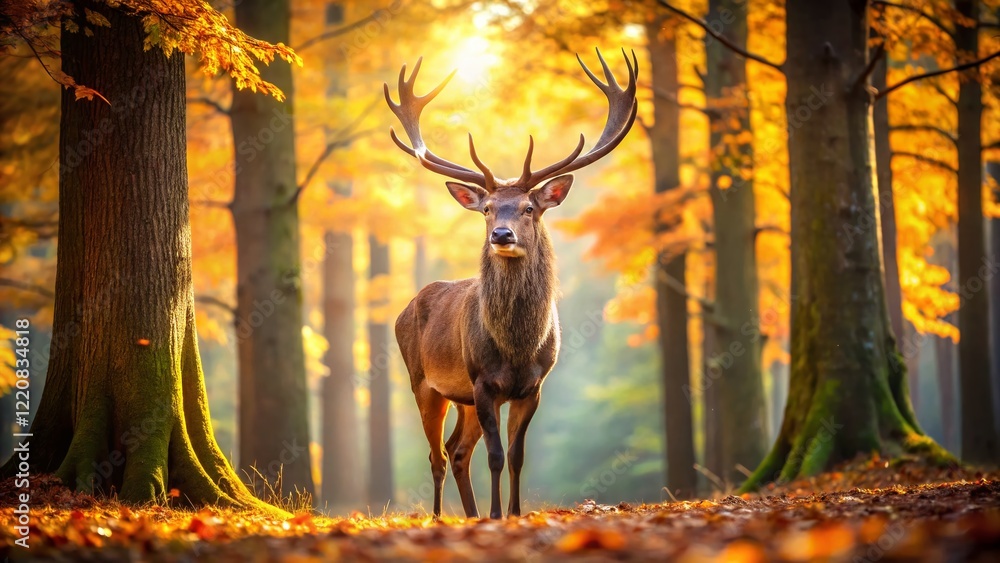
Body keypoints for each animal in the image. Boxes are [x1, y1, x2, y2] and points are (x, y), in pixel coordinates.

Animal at [387, 49, 638, 520]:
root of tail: (404, 308)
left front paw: (515, 514)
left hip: (461, 396)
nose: (501, 235)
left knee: (456, 450)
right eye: (486, 208)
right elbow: (496, 455)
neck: (517, 347)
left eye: (528, 208)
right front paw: (497, 515)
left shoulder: (533, 386)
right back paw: (439, 516)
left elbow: (518, 455)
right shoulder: (484, 382)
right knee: (438, 454)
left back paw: (467, 515)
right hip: (423, 382)